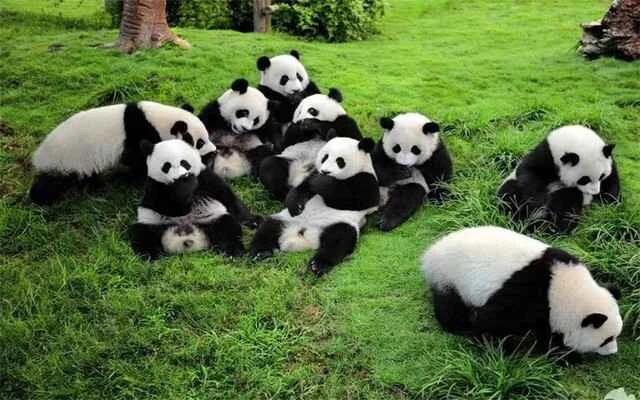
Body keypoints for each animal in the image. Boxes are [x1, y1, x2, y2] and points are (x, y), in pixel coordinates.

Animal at [29, 101, 216, 205]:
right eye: (199, 142)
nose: (213, 152)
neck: (158, 120)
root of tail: (39, 154)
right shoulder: (138, 133)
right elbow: (137, 157)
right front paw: (138, 179)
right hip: (68, 159)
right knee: (53, 181)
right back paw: (40, 198)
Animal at [250, 137, 379, 276]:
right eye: (325, 157)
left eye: (340, 161)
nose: (325, 171)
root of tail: (302, 235)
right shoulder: (312, 173)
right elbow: (302, 188)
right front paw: (295, 204)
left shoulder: (367, 180)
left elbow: (353, 200)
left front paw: (322, 183)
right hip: (285, 218)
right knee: (268, 228)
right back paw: (261, 252)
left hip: (339, 223)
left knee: (339, 241)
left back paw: (318, 265)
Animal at [422, 226, 623, 358]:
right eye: (606, 339)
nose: (613, 352)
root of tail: (431, 252)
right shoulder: (526, 293)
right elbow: (491, 321)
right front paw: (500, 348)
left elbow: (546, 330)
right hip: (450, 276)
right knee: (450, 306)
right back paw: (459, 325)